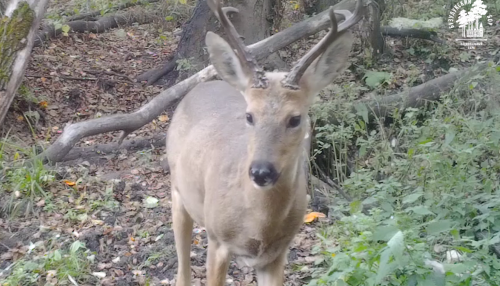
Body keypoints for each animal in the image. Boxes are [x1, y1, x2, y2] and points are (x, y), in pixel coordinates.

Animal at [166, 0, 366, 284]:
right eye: (249, 115)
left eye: (295, 118)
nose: (261, 171)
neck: (259, 226)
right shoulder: (218, 240)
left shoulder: (276, 253)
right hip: (178, 191)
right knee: (182, 267)